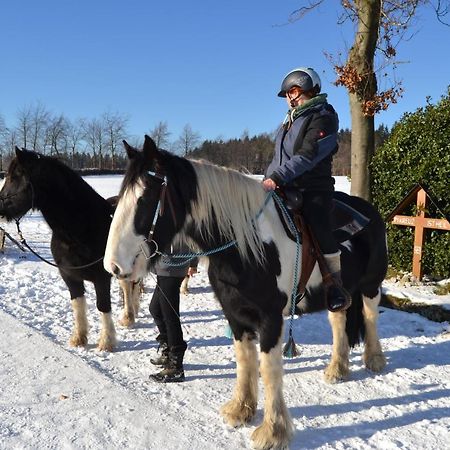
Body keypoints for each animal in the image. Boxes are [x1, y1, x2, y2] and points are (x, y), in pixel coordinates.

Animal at [0, 148, 141, 352]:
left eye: (14, 177)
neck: (79, 232)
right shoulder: (69, 276)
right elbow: (78, 304)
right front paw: (79, 338)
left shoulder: (101, 278)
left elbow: (102, 306)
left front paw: (106, 342)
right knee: (126, 286)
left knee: (130, 286)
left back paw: (130, 316)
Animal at [103, 137, 386, 450]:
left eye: (144, 198)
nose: (113, 265)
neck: (247, 246)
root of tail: (369, 210)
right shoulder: (236, 315)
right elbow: (245, 361)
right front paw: (241, 410)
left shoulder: (271, 319)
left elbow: (269, 370)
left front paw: (272, 431)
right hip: (339, 294)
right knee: (339, 321)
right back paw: (337, 368)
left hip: (371, 285)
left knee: (370, 316)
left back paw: (374, 360)